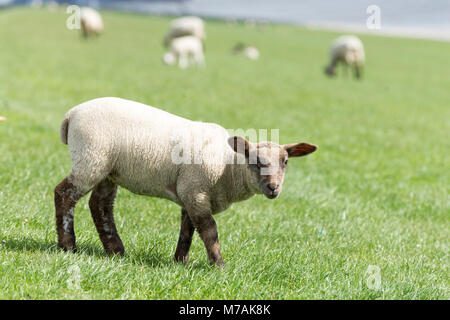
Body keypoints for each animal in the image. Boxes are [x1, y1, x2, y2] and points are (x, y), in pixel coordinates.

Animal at [54, 97, 318, 264]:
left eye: (285, 161)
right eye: (255, 161)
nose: (273, 188)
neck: (227, 167)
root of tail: (71, 114)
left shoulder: (191, 193)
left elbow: (187, 230)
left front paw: (180, 261)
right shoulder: (195, 190)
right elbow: (209, 230)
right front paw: (218, 265)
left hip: (108, 167)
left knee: (100, 205)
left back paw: (116, 251)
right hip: (91, 157)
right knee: (64, 194)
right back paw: (68, 246)